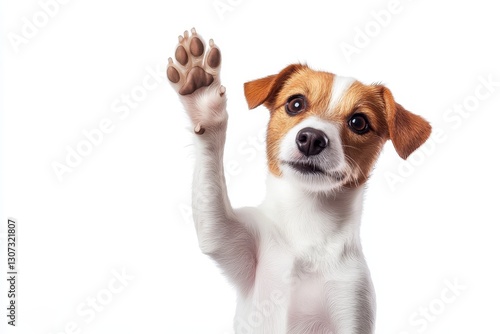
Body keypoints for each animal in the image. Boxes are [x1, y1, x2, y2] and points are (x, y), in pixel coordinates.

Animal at [167, 28, 430, 334]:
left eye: (359, 122)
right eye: (295, 103)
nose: (312, 138)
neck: (309, 219)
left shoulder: (352, 306)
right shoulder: (228, 239)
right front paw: (202, 94)